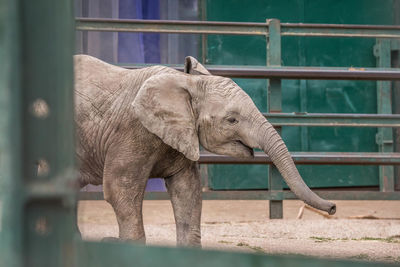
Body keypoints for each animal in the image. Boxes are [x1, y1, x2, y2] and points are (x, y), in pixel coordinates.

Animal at [74, 55, 334, 248]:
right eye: (231, 120)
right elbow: (120, 189)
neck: (185, 83)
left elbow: (187, 189)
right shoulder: (132, 130)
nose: (332, 208)